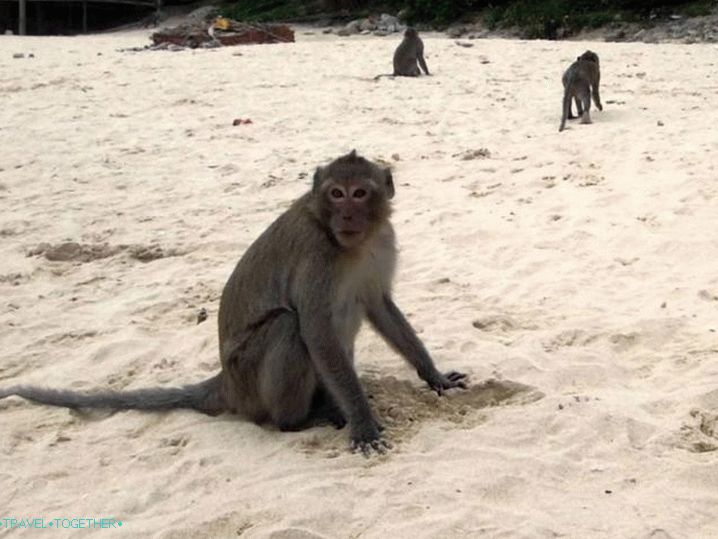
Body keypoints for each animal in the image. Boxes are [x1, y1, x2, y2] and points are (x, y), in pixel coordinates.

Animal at [0, 152, 470, 456]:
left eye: (360, 193)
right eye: (336, 194)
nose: (348, 217)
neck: (350, 243)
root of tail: (225, 381)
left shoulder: (381, 244)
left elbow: (379, 306)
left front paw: (434, 376)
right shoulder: (317, 254)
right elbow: (315, 329)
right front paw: (363, 422)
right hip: (249, 376)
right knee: (288, 327)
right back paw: (301, 420)